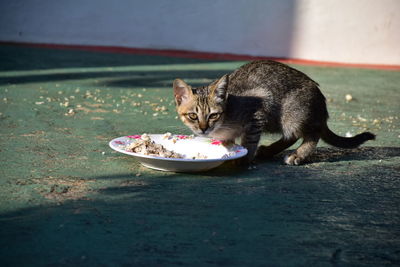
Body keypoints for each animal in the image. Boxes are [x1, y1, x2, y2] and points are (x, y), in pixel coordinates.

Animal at [173, 60, 376, 165]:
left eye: (213, 115)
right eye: (193, 116)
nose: (203, 129)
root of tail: (321, 105)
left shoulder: (259, 109)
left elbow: (249, 142)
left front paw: (244, 160)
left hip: (293, 114)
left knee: (312, 133)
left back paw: (298, 155)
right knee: (292, 136)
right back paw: (270, 150)